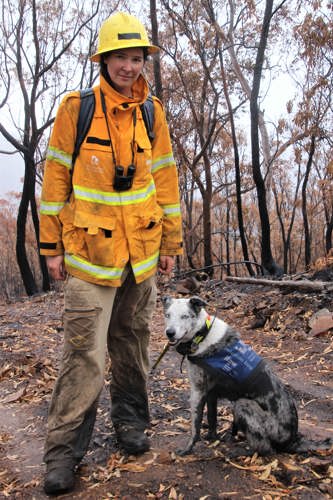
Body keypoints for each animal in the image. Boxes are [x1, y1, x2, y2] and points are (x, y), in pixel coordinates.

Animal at [160, 296, 330, 458]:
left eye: (185, 316)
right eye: (167, 315)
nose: (170, 333)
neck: (202, 333)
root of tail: (293, 440)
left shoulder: (198, 392)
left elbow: (195, 427)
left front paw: (188, 449)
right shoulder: (210, 394)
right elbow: (212, 419)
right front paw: (212, 438)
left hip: (242, 405)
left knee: (266, 449)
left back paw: (239, 453)